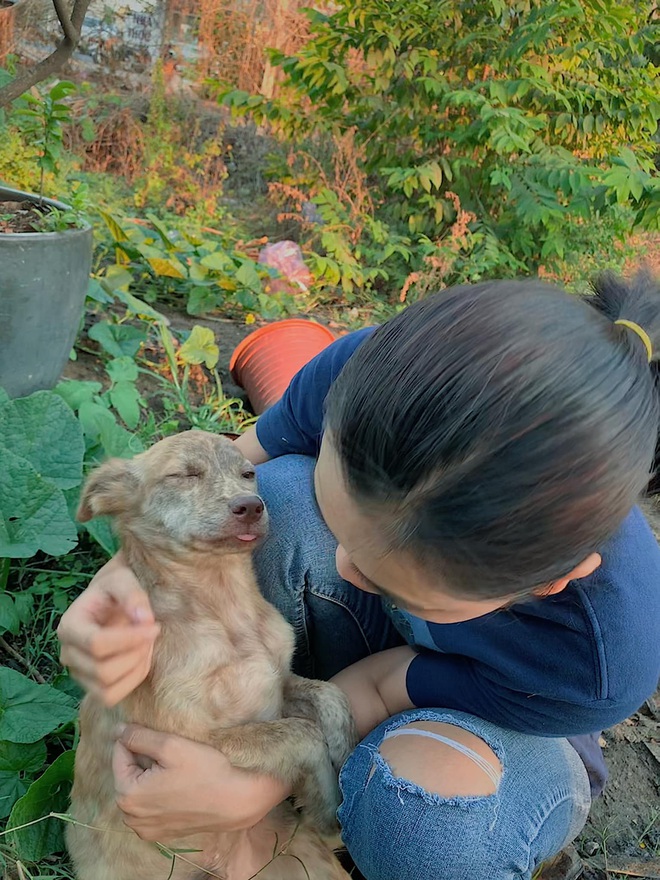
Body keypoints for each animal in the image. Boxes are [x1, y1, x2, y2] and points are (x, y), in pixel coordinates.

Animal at [65, 432, 356, 880]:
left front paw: (345, 758)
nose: (250, 506)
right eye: (184, 475)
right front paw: (327, 811)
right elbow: (302, 734)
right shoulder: (195, 738)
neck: (226, 608)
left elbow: (332, 697)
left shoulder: (278, 683)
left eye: (248, 474)